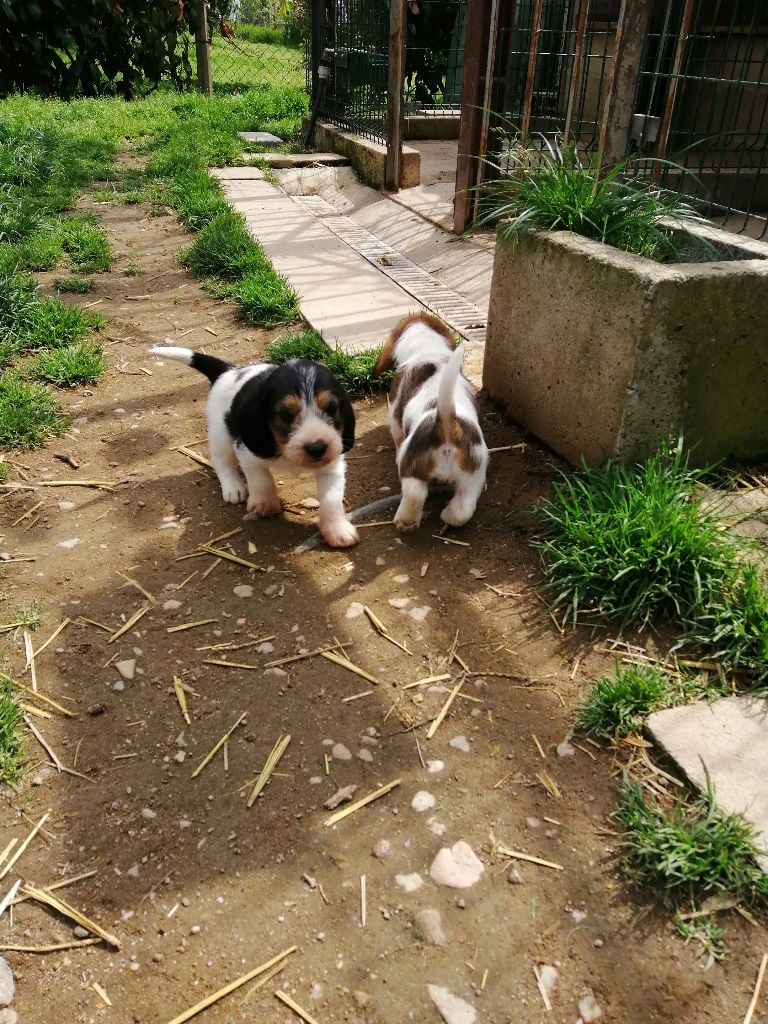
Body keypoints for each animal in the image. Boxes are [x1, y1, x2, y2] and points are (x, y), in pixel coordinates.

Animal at [150, 346, 360, 552]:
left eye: (331, 408)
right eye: (285, 415)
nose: (317, 448)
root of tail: (228, 372)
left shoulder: (332, 467)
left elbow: (331, 499)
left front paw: (337, 529)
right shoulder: (246, 452)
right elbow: (261, 480)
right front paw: (265, 503)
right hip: (221, 434)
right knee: (222, 461)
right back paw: (233, 486)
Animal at [376, 311, 489, 532]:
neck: (427, 348)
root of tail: (446, 424)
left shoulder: (394, 416)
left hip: (412, 466)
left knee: (415, 493)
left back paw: (405, 521)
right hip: (474, 475)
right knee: (463, 509)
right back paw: (448, 515)